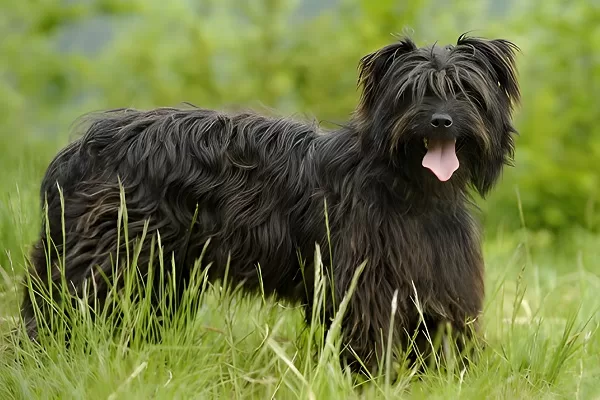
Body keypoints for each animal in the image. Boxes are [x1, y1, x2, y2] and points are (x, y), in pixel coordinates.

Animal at [17, 32, 516, 374]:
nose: (441, 120)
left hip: (158, 273)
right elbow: (369, 337)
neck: (408, 187)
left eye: (466, 91)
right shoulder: (365, 286)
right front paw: (372, 381)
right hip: (102, 261)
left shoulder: (437, 284)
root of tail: (83, 147)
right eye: (412, 93)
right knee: (58, 310)